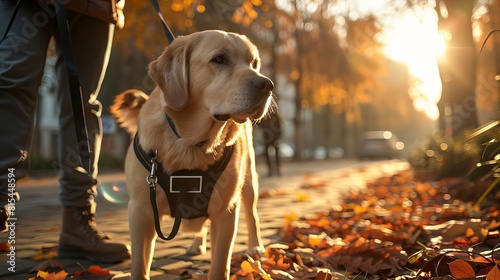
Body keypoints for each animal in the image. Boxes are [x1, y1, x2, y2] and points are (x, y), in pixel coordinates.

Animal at [110, 29, 276, 278]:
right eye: (219, 59)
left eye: (254, 63)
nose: (267, 84)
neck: (190, 144)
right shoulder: (140, 211)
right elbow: (139, 266)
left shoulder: (226, 211)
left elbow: (219, 267)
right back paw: (197, 244)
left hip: (248, 182)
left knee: (252, 214)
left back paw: (255, 246)